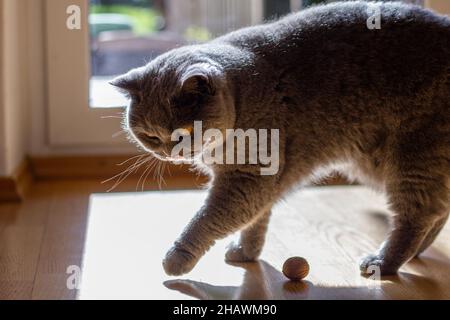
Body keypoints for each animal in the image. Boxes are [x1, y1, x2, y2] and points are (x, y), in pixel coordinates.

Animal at [111, 0, 450, 276]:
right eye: (151, 137)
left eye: (184, 132)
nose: (170, 152)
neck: (243, 95)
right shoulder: (262, 180)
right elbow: (255, 220)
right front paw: (246, 252)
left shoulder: (248, 177)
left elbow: (207, 219)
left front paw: (175, 259)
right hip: (379, 162)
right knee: (438, 209)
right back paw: (414, 254)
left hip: (411, 156)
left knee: (416, 216)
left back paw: (383, 263)